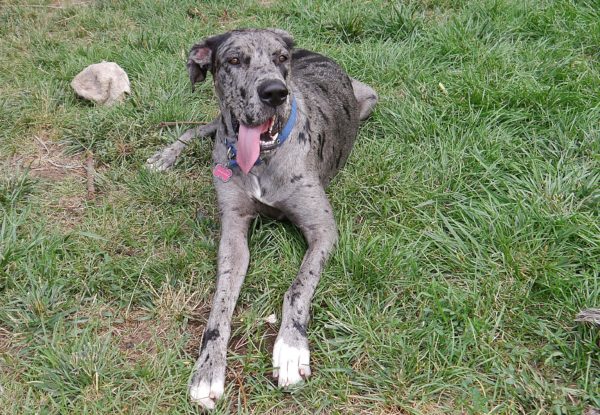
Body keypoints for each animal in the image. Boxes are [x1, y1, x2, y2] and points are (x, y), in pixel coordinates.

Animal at [146, 28, 378, 410]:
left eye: (280, 58)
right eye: (234, 60)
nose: (274, 92)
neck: (261, 160)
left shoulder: (323, 230)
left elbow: (298, 287)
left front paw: (291, 349)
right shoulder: (233, 235)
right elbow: (220, 305)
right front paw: (207, 369)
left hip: (370, 97)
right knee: (200, 128)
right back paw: (165, 156)